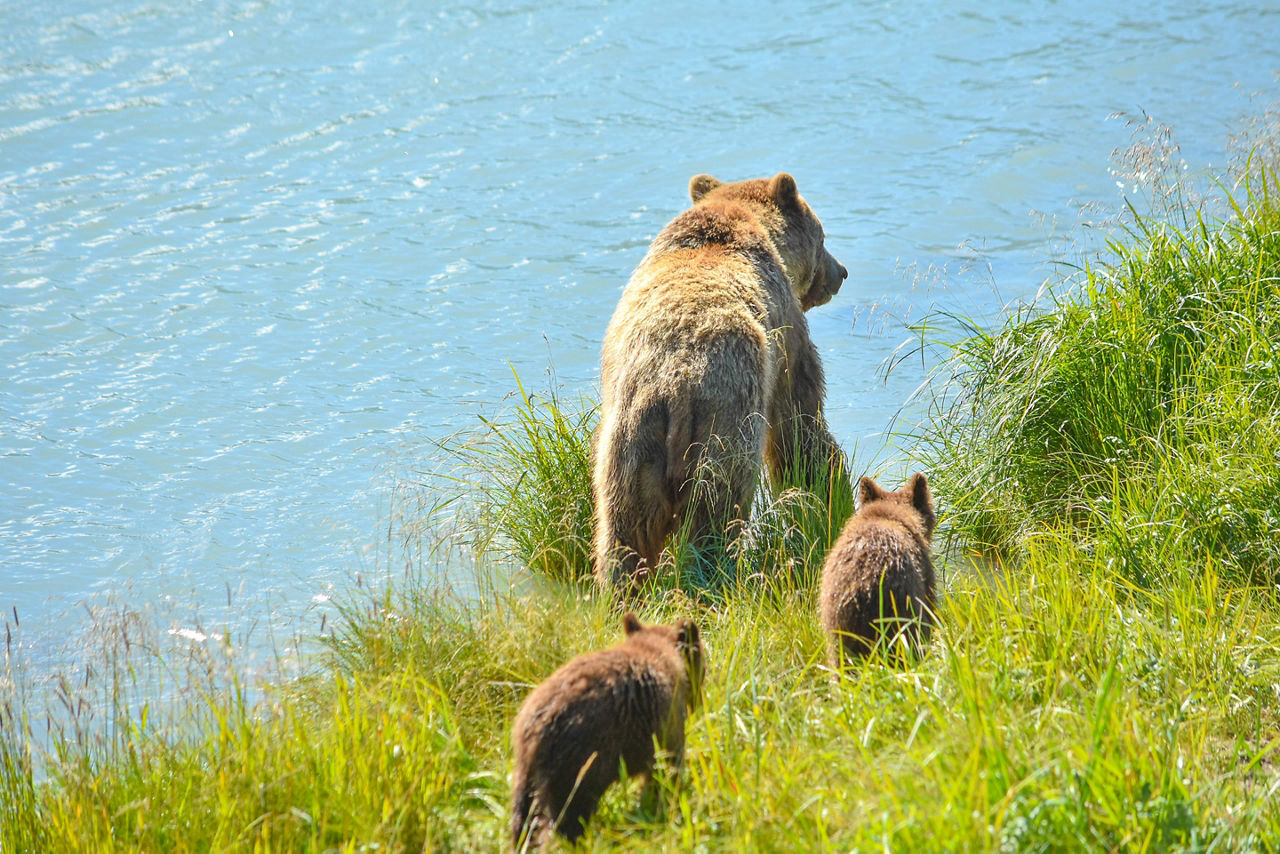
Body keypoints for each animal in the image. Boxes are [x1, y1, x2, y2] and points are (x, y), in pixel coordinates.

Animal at [506, 614, 706, 850]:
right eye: (704, 668)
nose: (700, 703)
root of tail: (538, 726)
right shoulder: (665, 720)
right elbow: (665, 769)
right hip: (580, 760)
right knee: (568, 816)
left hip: (525, 769)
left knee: (524, 816)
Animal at [596, 170, 849, 591]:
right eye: (823, 237)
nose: (841, 272)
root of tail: (676, 384)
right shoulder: (784, 331)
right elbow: (799, 414)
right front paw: (827, 478)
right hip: (724, 426)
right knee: (717, 514)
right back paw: (717, 575)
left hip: (631, 444)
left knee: (623, 533)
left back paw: (620, 589)